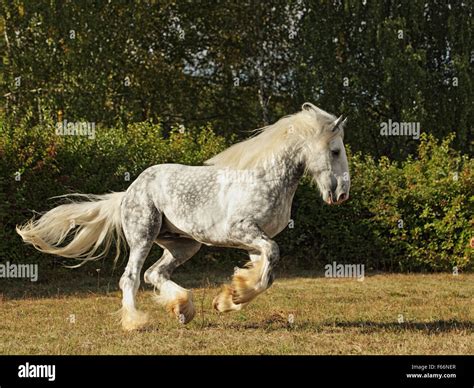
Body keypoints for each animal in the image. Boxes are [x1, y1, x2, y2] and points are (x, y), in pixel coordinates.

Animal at [16, 103, 350, 330]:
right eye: (335, 151)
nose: (342, 193)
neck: (264, 178)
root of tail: (128, 191)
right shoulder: (243, 231)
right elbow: (270, 262)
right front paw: (235, 296)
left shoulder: (255, 242)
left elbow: (263, 273)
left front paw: (227, 299)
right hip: (144, 236)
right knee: (131, 277)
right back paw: (136, 321)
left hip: (183, 244)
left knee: (155, 274)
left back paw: (183, 309)